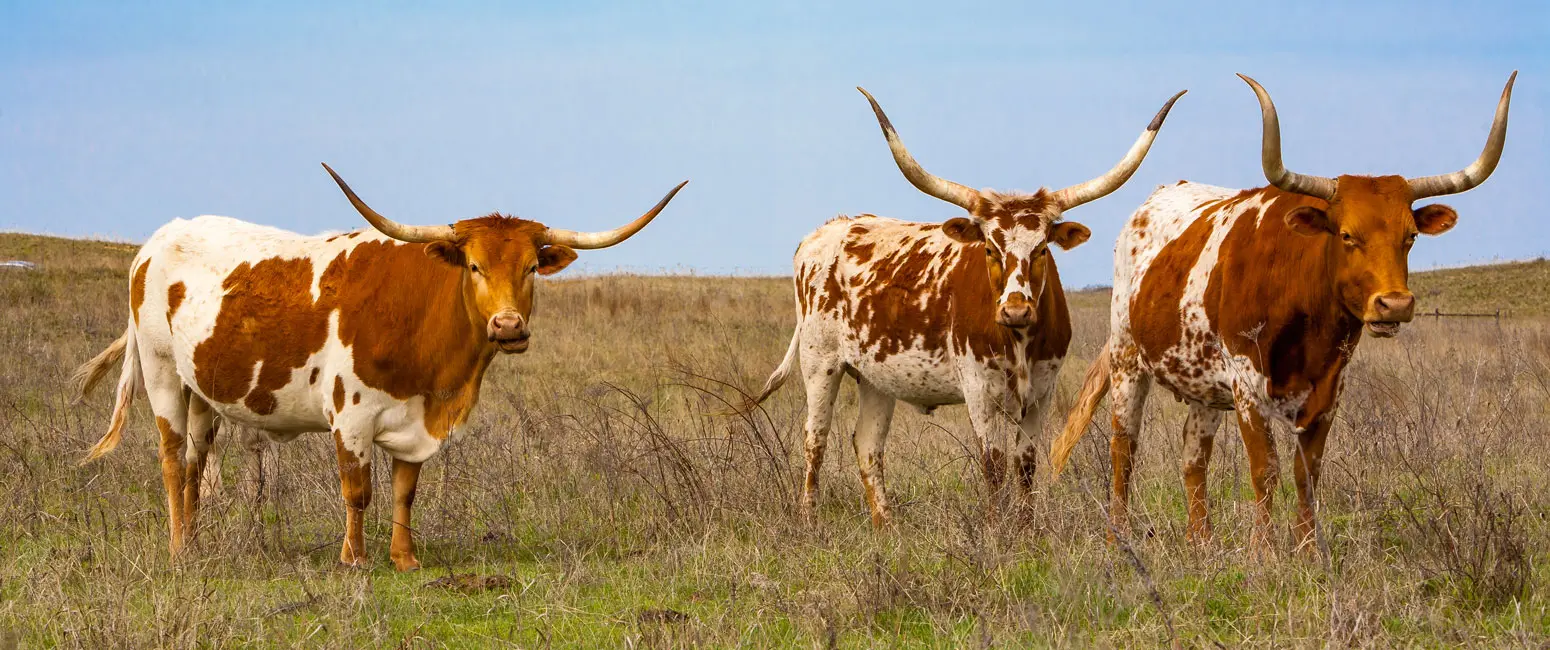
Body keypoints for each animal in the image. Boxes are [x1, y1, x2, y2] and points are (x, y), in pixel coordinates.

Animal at [73, 165, 686, 569]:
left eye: (532, 266)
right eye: (473, 264)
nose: (508, 326)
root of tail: (157, 239)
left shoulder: (418, 422)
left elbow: (403, 491)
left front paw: (404, 559)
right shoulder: (351, 416)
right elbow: (358, 490)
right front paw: (355, 559)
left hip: (204, 390)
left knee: (197, 463)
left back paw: (198, 544)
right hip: (161, 375)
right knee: (172, 460)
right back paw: (179, 549)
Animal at [745, 87, 1185, 527]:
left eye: (1042, 249)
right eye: (989, 248)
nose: (1016, 311)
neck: (1019, 342)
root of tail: (823, 232)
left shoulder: (1042, 392)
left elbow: (1026, 465)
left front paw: (1026, 530)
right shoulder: (978, 391)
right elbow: (994, 465)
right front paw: (996, 530)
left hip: (875, 376)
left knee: (868, 444)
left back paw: (886, 526)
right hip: (820, 362)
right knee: (814, 438)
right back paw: (809, 519)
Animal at [1049, 72, 1515, 550]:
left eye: (1410, 237)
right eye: (1346, 235)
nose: (1395, 304)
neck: (1305, 322)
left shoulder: (1329, 389)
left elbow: (1306, 474)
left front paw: (1308, 552)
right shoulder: (1247, 386)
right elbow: (1265, 470)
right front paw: (1263, 553)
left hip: (1203, 386)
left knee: (1193, 458)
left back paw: (1203, 543)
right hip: (1128, 359)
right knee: (1124, 448)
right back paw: (1117, 538)